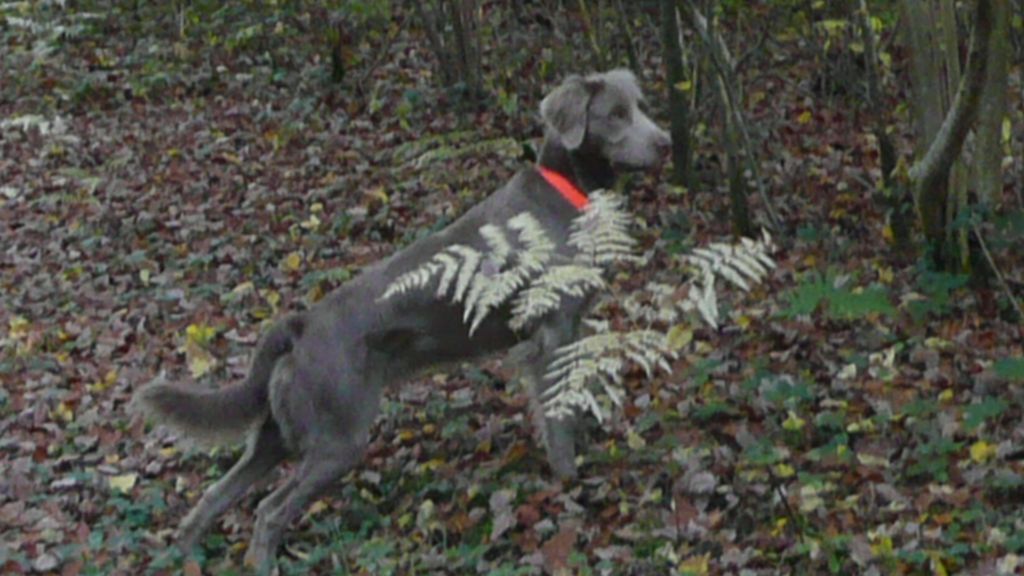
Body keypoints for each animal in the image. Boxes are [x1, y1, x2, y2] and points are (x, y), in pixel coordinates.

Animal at [136, 68, 675, 565]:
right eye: (615, 115)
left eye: (644, 107)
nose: (667, 142)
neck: (569, 194)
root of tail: (300, 325)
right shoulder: (547, 333)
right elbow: (556, 411)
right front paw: (569, 480)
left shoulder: (571, 327)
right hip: (337, 439)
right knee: (268, 511)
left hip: (278, 434)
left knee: (215, 495)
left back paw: (183, 556)